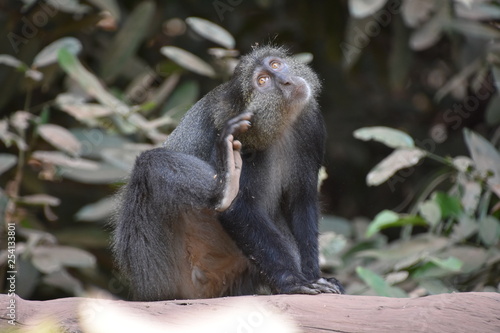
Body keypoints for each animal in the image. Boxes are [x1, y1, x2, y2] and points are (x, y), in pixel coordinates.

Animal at [113, 45, 346, 300]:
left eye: (276, 65)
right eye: (263, 81)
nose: (285, 81)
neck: (281, 125)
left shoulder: (311, 126)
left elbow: (301, 202)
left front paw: (314, 277)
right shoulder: (239, 135)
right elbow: (239, 208)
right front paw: (292, 282)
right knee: (148, 165)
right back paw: (224, 189)